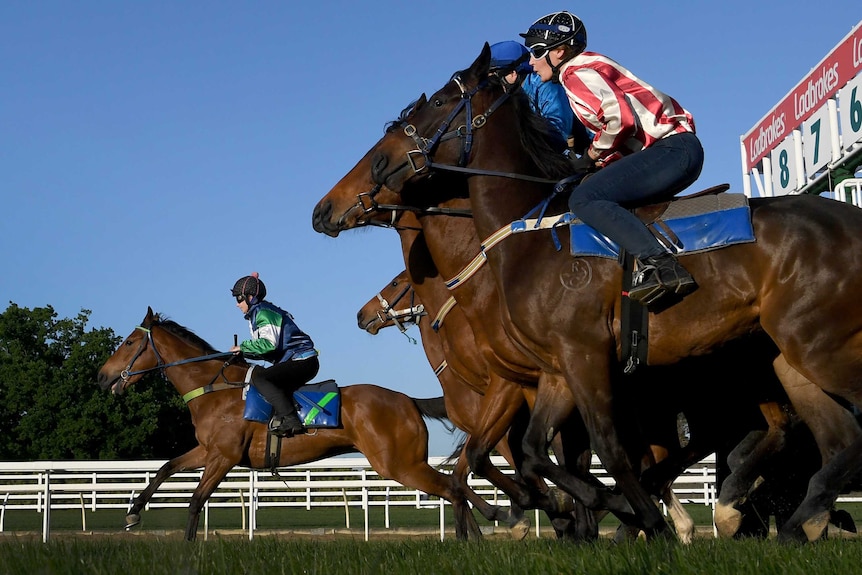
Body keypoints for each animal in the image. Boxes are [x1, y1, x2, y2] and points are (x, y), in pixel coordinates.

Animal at [96, 308, 486, 544]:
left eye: (129, 342)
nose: (102, 377)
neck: (214, 389)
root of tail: (408, 400)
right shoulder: (208, 450)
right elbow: (166, 468)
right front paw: (132, 514)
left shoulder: (223, 457)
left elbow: (195, 500)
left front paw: (189, 547)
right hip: (405, 463)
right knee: (457, 485)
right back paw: (480, 536)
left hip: (399, 464)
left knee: (452, 489)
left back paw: (465, 542)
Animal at [314, 44, 862, 540]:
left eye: (438, 103)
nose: (324, 208)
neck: (524, 239)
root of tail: (849, 217)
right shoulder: (555, 370)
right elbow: (526, 454)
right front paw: (592, 512)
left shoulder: (575, 359)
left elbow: (600, 451)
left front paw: (624, 518)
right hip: (785, 360)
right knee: (831, 438)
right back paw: (791, 521)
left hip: (809, 350)